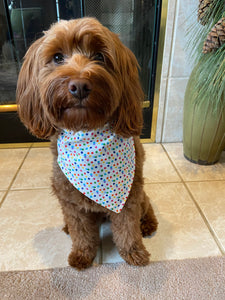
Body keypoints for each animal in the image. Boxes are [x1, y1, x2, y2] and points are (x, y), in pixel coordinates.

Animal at [15, 17, 157, 270]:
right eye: (58, 57)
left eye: (100, 56)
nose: (79, 85)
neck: (88, 132)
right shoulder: (70, 200)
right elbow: (80, 231)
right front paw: (81, 254)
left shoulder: (130, 196)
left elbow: (127, 228)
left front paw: (134, 252)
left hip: (140, 194)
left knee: (146, 205)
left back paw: (148, 224)